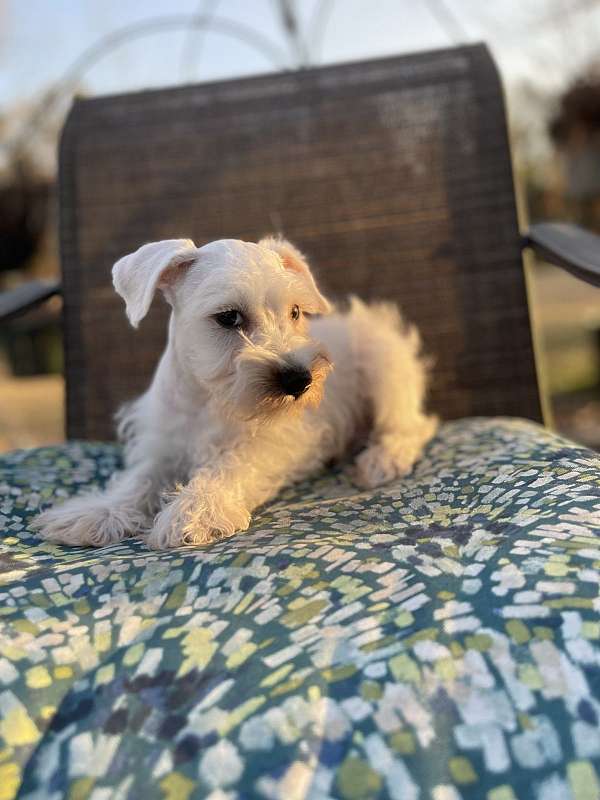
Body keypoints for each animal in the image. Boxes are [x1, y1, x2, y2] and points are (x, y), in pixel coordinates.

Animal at [32, 238, 436, 552]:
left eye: (294, 312)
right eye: (228, 317)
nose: (299, 380)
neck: (208, 398)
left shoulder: (270, 442)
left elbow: (228, 467)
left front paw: (194, 510)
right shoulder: (162, 445)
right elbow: (138, 480)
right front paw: (98, 512)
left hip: (383, 359)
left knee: (411, 425)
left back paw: (382, 459)